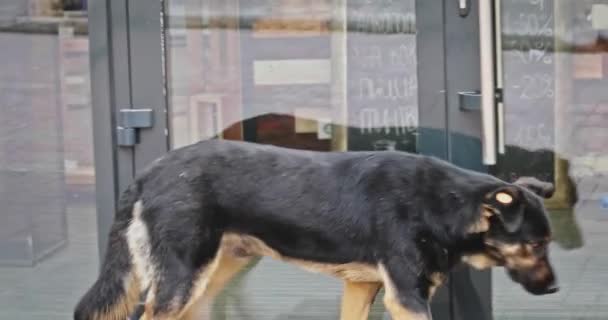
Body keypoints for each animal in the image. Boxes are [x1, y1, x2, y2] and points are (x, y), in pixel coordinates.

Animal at [73, 140, 560, 320]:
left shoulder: (362, 289)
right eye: (535, 244)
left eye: (547, 243)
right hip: (181, 280)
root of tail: (150, 170)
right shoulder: (407, 298)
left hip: (209, 279)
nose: (556, 290)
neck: (443, 203)